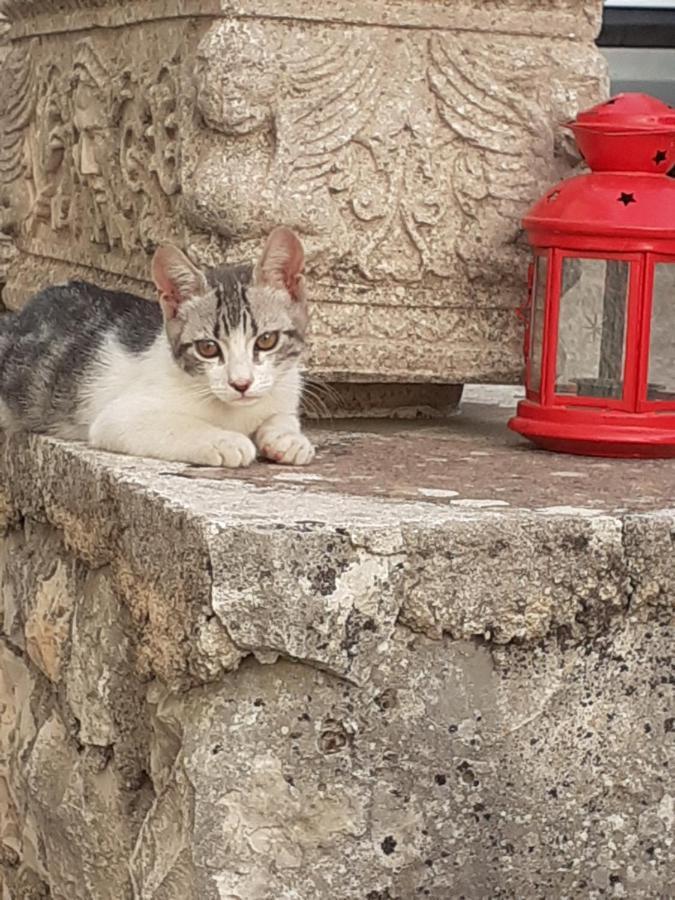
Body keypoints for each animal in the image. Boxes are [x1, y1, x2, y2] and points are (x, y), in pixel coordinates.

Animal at [0, 225, 316, 468]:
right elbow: (180, 426)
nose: (241, 383)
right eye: (208, 348)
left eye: (266, 340)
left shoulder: (285, 390)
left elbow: (282, 415)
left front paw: (288, 438)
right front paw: (224, 440)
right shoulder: (118, 418)